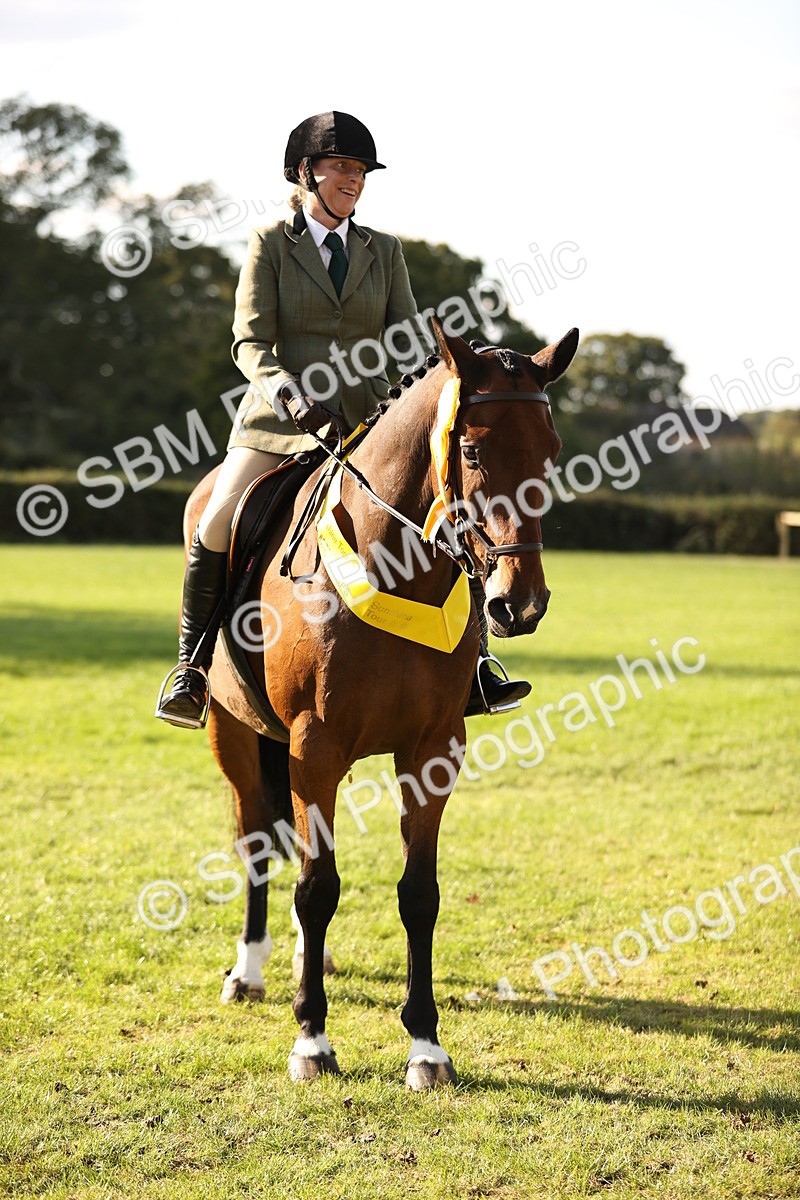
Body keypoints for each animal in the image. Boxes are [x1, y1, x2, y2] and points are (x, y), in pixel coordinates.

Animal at [183, 316, 578, 1089]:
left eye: (550, 454)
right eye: (474, 451)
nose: (519, 604)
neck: (397, 567)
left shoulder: (432, 751)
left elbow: (417, 894)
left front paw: (426, 1046)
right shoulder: (314, 749)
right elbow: (316, 887)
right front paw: (312, 1039)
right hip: (234, 733)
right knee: (257, 842)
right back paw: (250, 970)